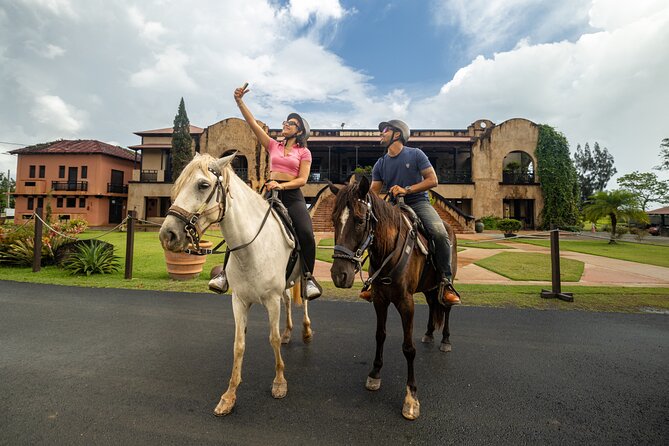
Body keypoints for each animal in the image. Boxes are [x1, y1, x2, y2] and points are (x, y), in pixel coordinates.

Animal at [159, 152, 314, 414]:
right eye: (178, 185)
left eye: (203, 185)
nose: (167, 235)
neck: (251, 249)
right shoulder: (239, 300)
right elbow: (238, 344)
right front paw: (229, 396)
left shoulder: (271, 300)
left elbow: (272, 339)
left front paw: (279, 382)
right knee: (288, 301)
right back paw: (288, 332)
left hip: (300, 278)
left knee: (303, 300)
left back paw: (305, 330)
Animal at [328, 176, 456, 420]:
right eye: (333, 221)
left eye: (359, 221)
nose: (339, 275)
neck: (387, 250)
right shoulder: (380, 299)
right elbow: (380, 335)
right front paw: (375, 374)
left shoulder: (406, 302)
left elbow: (408, 348)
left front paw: (411, 397)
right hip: (428, 285)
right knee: (433, 304)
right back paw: (428, 333)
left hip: (446, 277)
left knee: (445, 306)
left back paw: (445, 339)